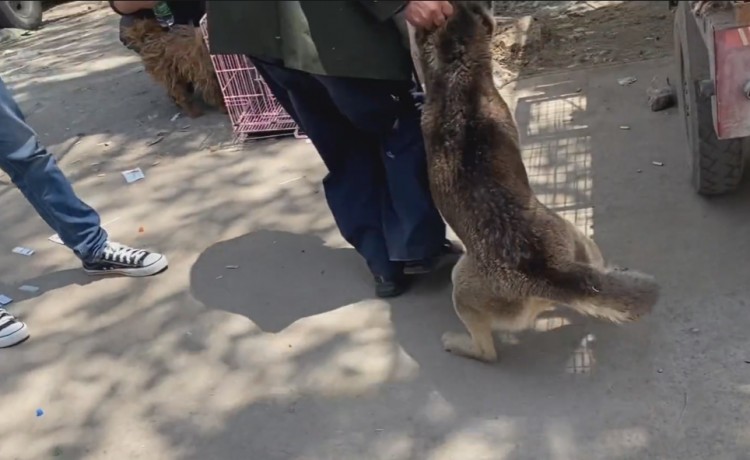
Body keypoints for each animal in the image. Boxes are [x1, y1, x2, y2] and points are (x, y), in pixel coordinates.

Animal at [414, 1, 660, 364]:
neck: (458, 73)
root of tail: (547, 275)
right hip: (575, 235)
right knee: (594, 271)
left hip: (461, 283)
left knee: (487, 353)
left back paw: (458, 343)